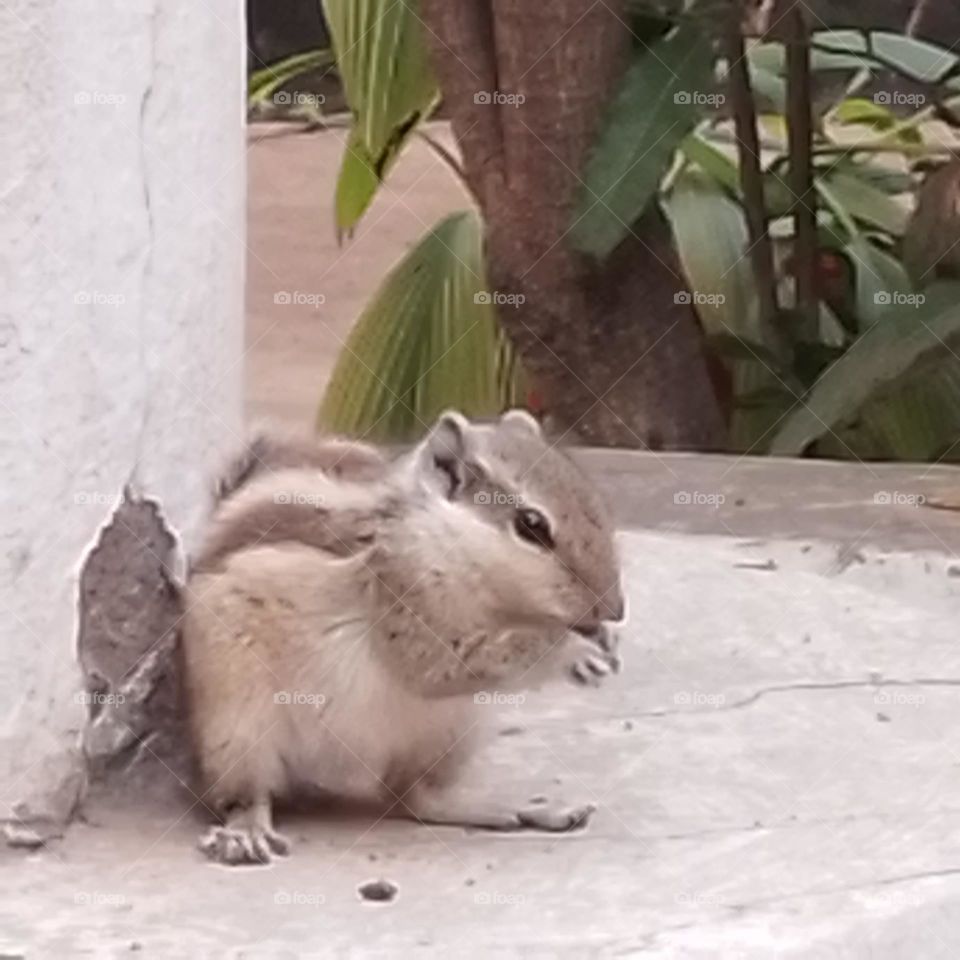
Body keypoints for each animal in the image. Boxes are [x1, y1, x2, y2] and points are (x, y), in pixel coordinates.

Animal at [181, 410, 625, 865]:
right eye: (531, 525)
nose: (615, 610)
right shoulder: (405, 610)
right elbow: (443, 664)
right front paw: (573, 647)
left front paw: (597, 647)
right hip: (237, 729)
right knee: (245, 793)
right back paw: (245, 831)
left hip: (450, 732)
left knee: (412, 796)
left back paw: (512, 808)